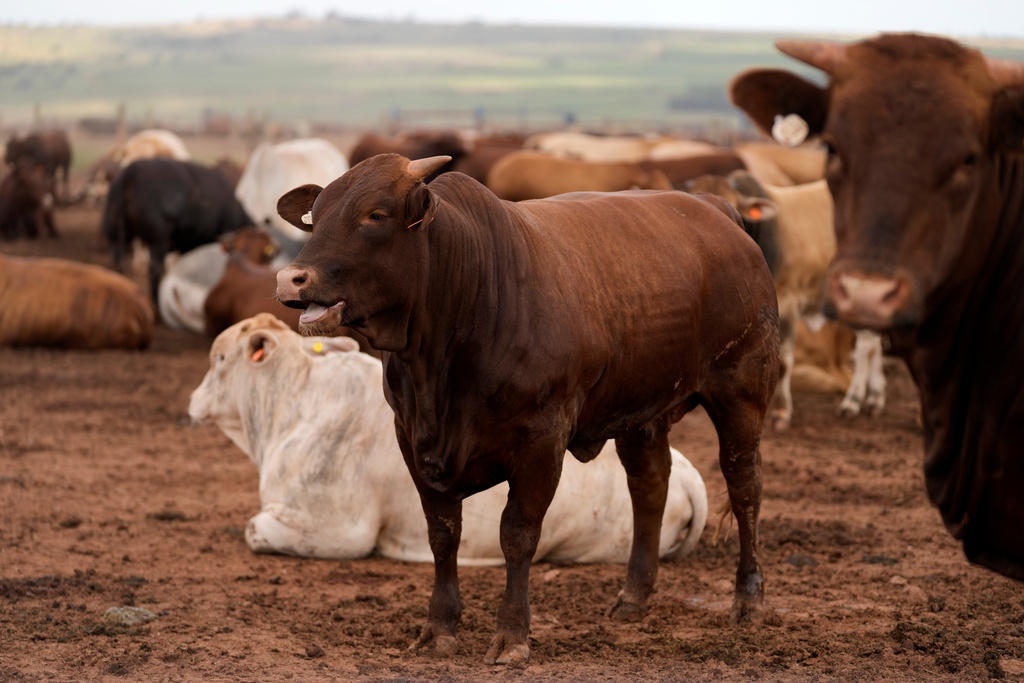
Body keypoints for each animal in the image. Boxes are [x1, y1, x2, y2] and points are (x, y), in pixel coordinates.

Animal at [189, 313, 708, 564]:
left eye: (218, 359)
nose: (192, 400)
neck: (290, 407)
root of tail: (688, 474)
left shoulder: (340, 529)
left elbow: (255, 528)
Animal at [685, 171, 887, 427]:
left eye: (733, 209)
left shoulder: (787, 302)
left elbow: (783, 363)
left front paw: (781, 411)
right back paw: (875, 397)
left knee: (866, 347)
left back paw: (853, 400)